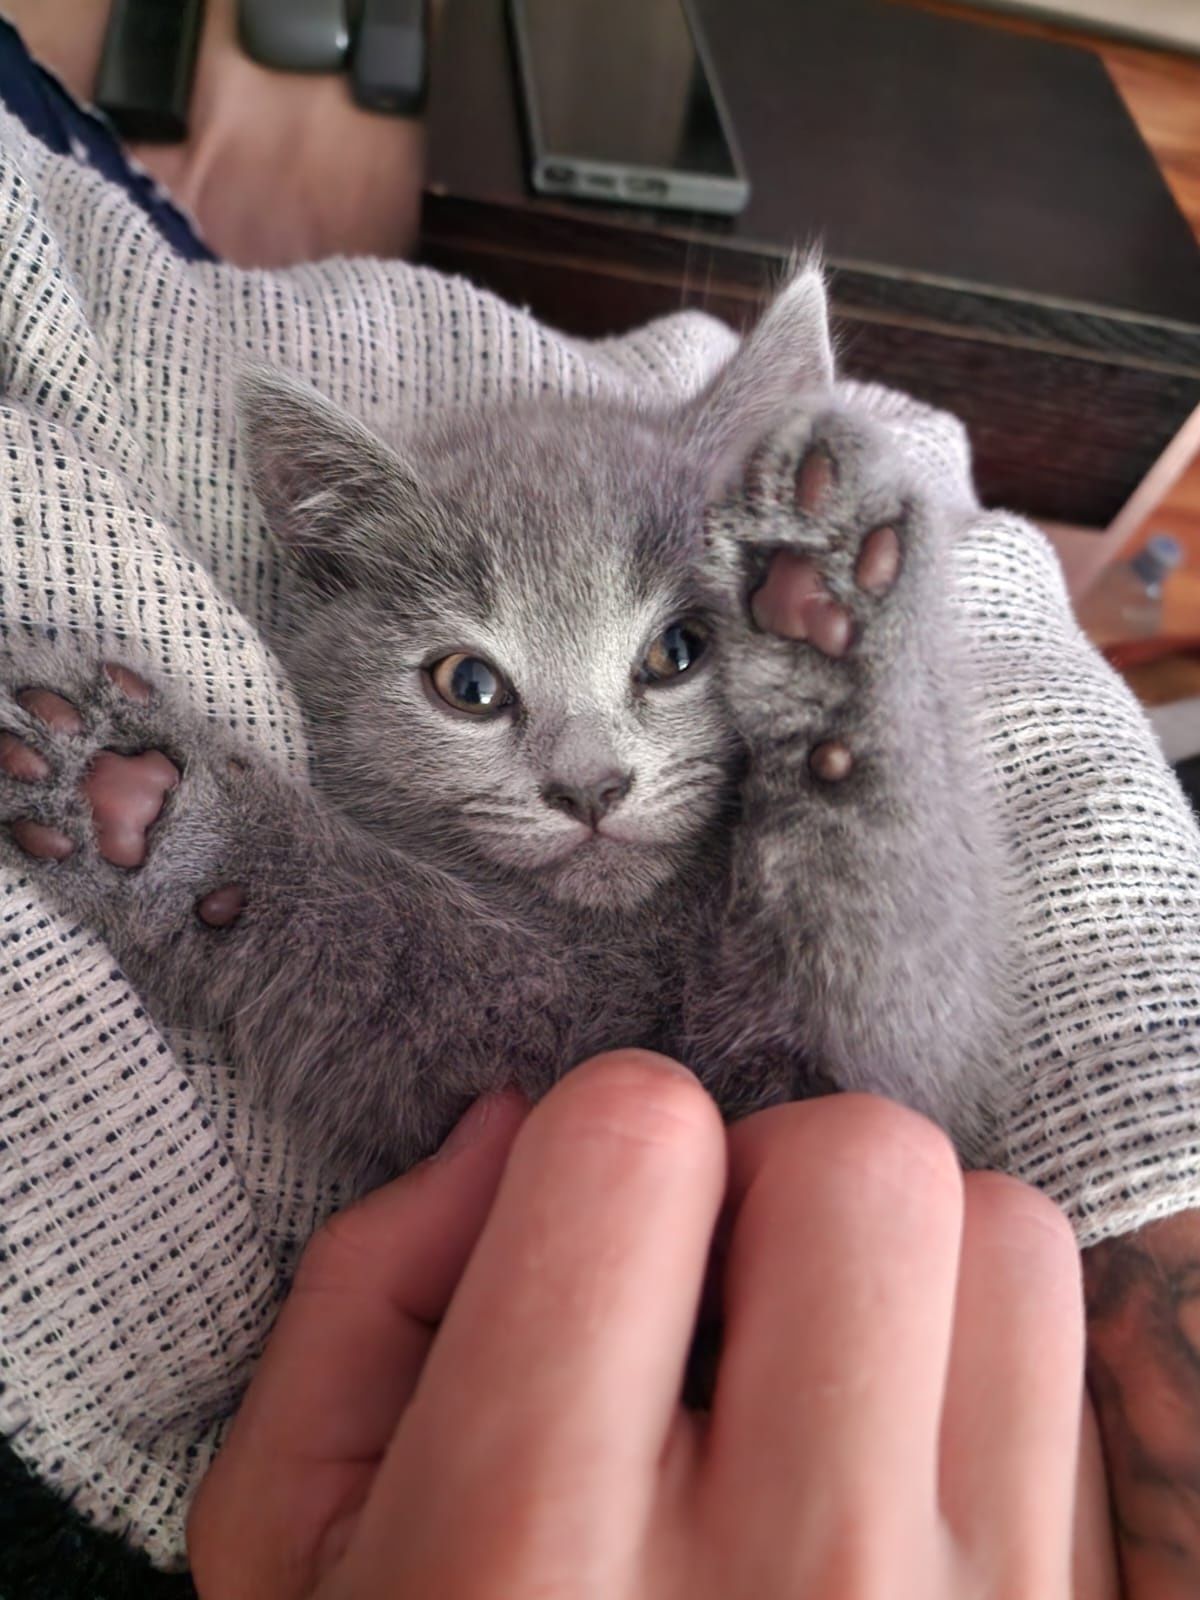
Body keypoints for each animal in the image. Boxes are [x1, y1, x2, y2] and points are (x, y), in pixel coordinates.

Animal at [0, 275, 1017, 1184]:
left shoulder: (884, 1071)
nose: (590, 787)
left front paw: (827, 609)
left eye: (679, 650)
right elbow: (399, 948)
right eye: (471, 686)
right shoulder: (495, 1052)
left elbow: (890, 971)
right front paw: (141, 798)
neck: (635, 933)